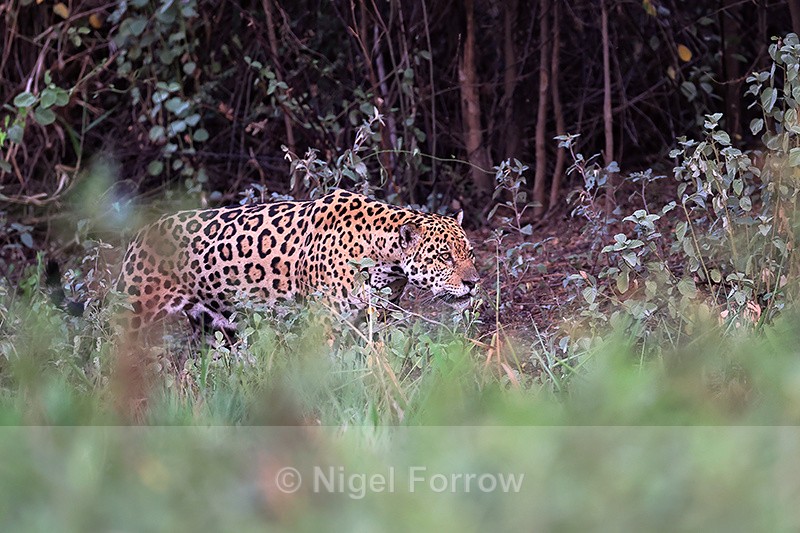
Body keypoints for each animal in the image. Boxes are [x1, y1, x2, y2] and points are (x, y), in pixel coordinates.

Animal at [48, 189, 480, 339]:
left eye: (470, 255)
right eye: (444, 256)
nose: (474, 283)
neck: (384, 259)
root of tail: (139, 236)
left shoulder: (374, 317)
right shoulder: (324, 320)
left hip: (213, 324)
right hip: (132, 310)